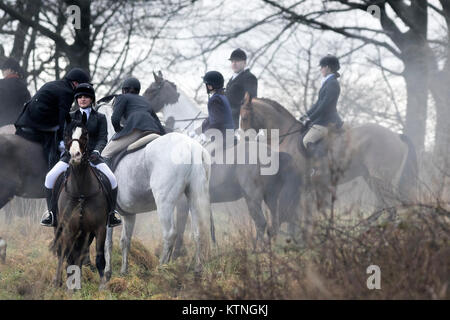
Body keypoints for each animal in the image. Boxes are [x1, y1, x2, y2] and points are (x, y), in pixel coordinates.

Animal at [51, 114, 108, 288]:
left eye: (86, 134)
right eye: (66, 134)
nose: (75, 156)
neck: (81, 191)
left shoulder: (99, 228)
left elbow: (99, 258)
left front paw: (103, 287)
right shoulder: (69, 228)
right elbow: (68, 258)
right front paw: (71, 286)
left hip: (85, 234)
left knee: (80, 256)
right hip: (59, 228)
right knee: (62, 253)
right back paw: (58, 281)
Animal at [97, 100, 214, 278]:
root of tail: (191, 147)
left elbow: (108, 243)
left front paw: (107, 273)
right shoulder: (129, 215)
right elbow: (125, 241)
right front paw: (123, 272)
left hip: (164, 202)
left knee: (169, 234)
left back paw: (161, 270)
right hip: (195, 196)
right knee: (198, 231)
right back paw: (197, 271)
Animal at [241, 93, 420, 220]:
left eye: (243, 117)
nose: (242, 140)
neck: (285, 136)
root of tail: (396, 135)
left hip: (381, 177)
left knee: (391, 205)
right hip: (371, 178)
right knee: (384, 205)